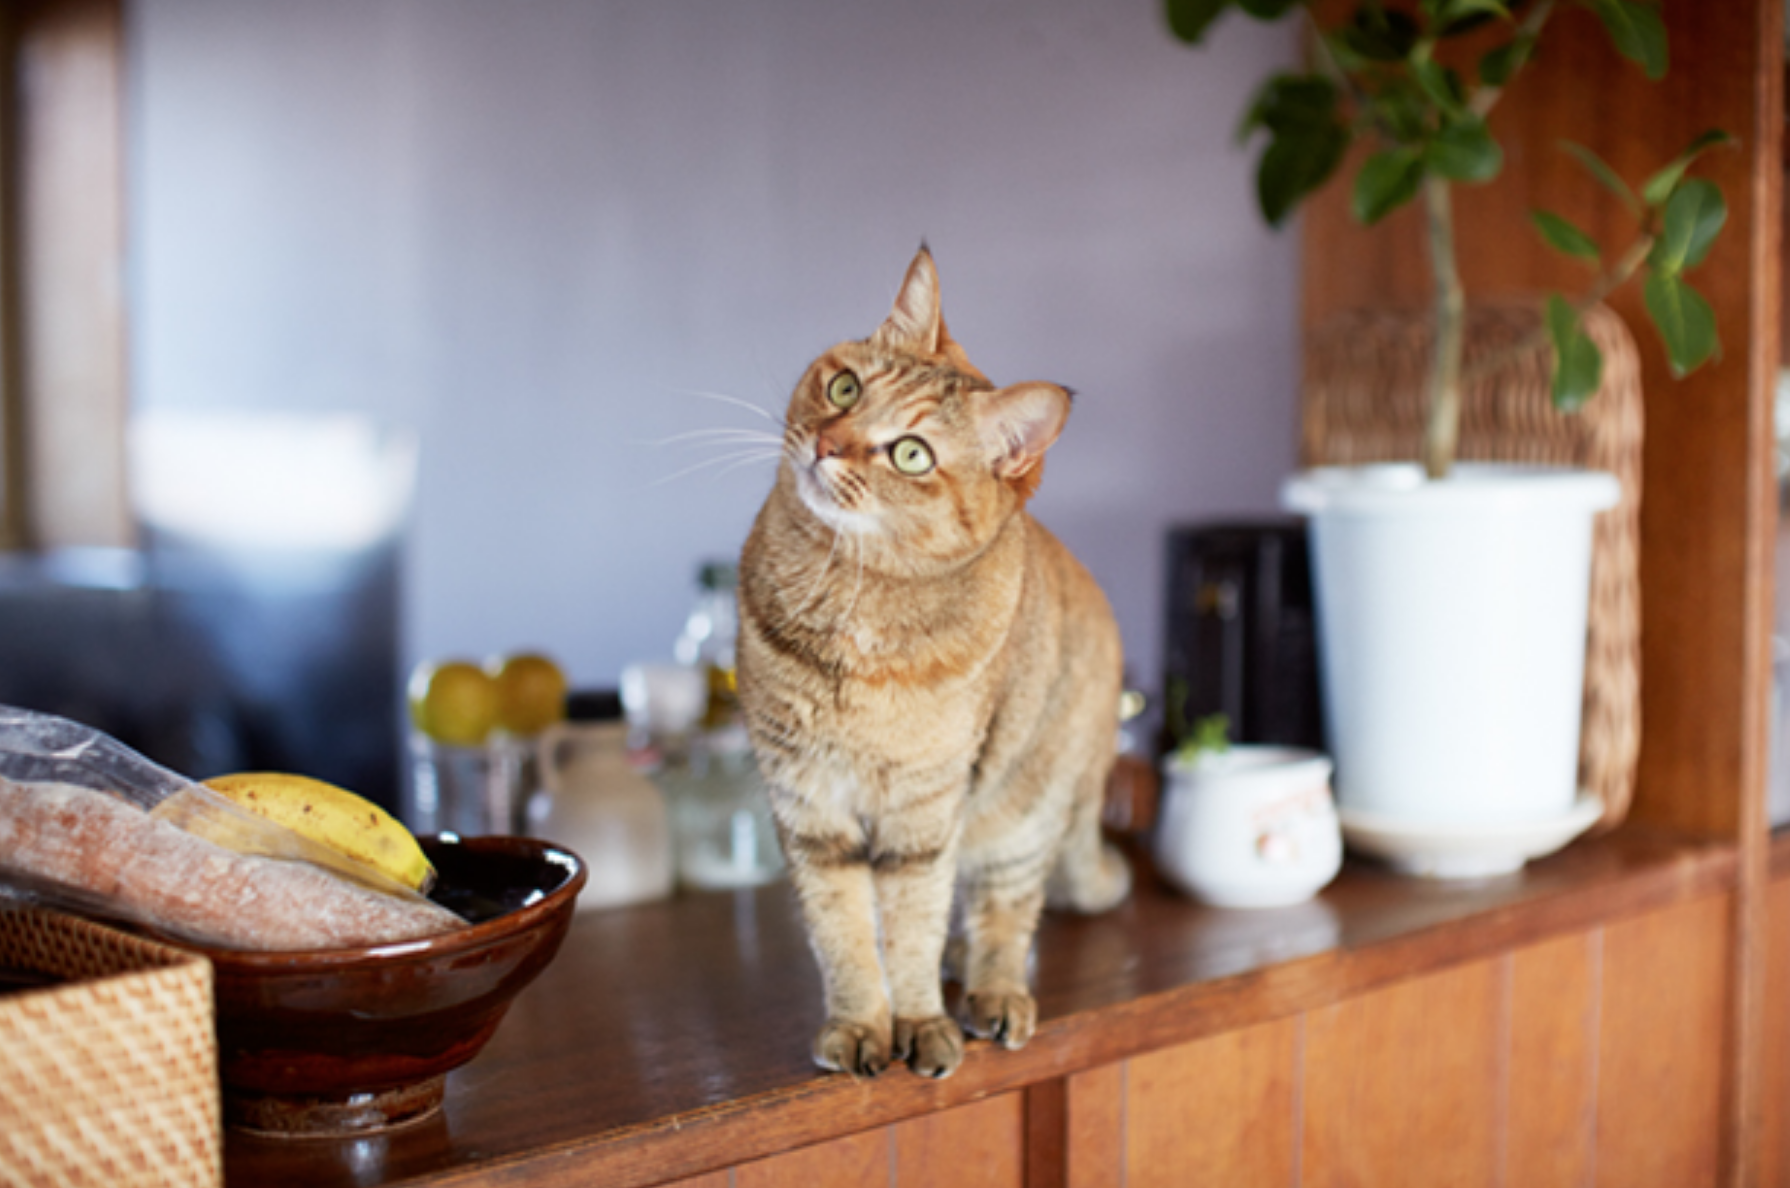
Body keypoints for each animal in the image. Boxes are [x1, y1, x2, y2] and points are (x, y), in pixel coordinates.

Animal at [735, 245, 1131, 1080]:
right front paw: (860, 1026)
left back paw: (994, 993)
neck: (851, 602)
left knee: (1004, 916)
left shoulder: (923, 815)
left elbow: (912, 925)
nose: (828, 444)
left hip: (1024, 811)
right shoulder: (809, 806)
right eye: (844, 388)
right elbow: (845, 934)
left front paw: (919, 1022)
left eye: (911, 454)